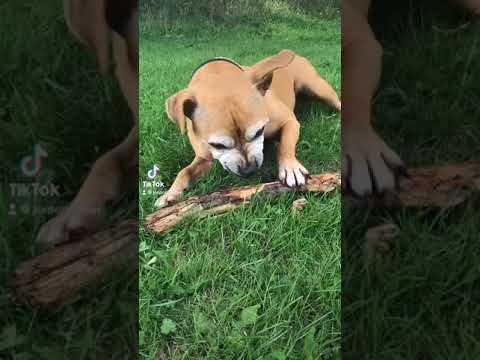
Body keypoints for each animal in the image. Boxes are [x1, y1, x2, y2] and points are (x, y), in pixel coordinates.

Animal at [156, 50, 340, 208]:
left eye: (259, 131)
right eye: (217, 145)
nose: (249, 169)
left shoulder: (290, 122)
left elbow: (286, 144)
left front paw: (290, 168)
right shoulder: (204, 158)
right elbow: (185, 171)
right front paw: (170, 193)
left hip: (319, 88)